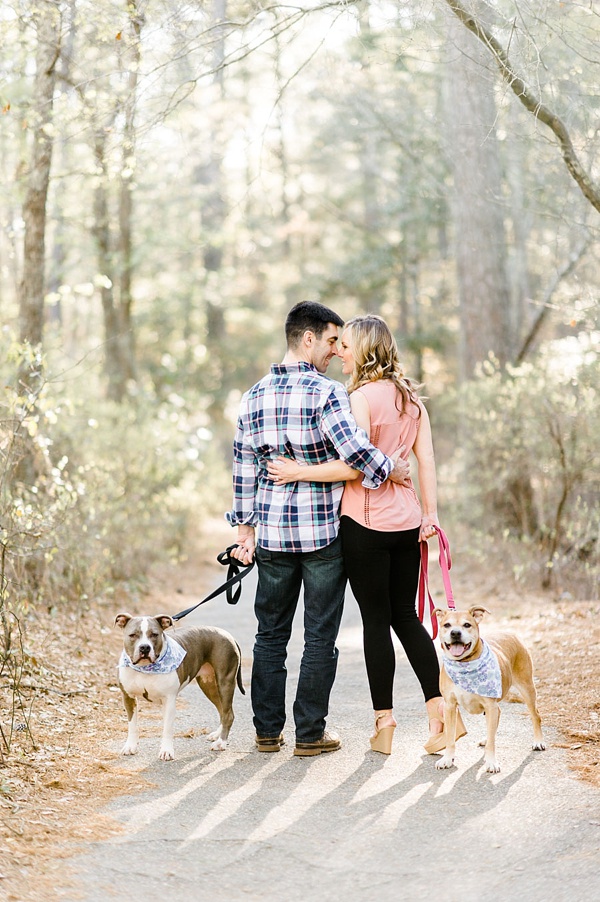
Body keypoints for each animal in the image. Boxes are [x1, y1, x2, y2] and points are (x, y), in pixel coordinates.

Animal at [434, 608, 548, 776]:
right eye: (447, 625)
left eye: (467, 624)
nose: (455, 633)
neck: (464, 664)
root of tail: (510, 633)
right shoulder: (449, 706)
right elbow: (450, 737)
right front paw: (447, 759)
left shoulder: (490, 705)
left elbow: (492, 742)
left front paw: (491, 762)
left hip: (527, 688)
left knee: (535, 716)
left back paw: (538, 741)